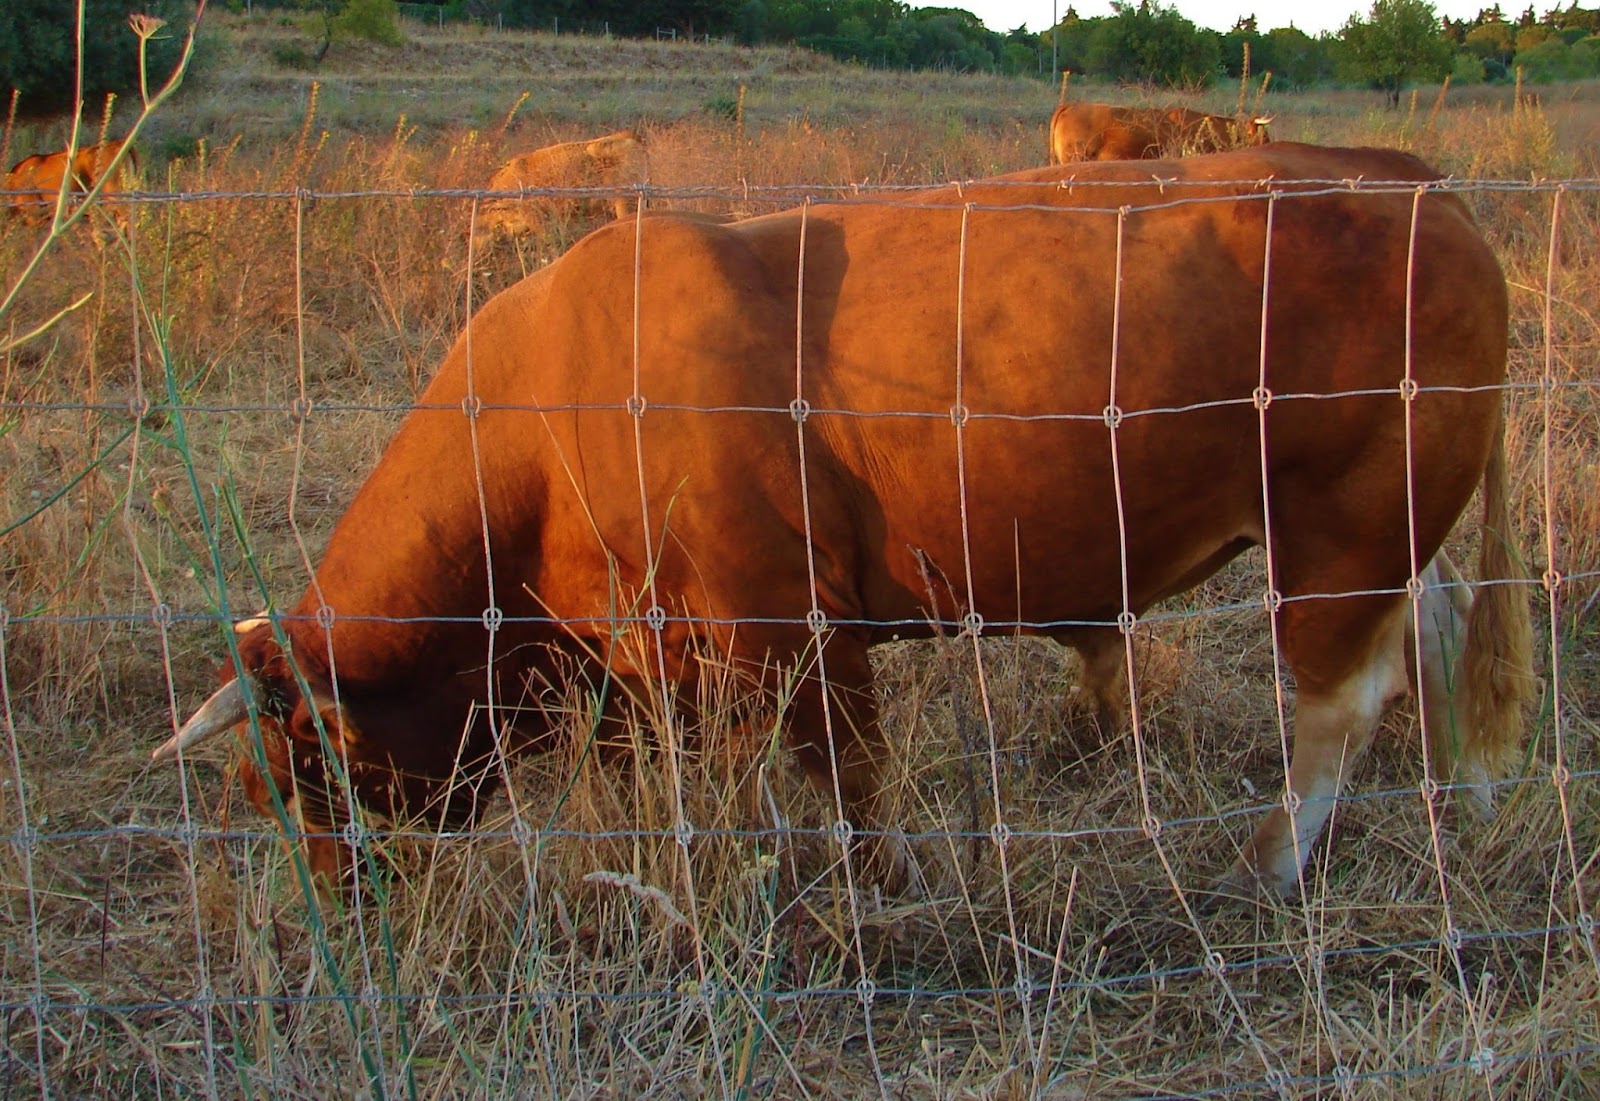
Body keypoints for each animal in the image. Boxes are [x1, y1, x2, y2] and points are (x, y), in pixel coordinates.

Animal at [156, 143, 1532, 902]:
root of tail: (1407, 179)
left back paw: (1269, 866)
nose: (345, 910)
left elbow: (846, 776)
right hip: (1395, 533)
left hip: (1344, 528)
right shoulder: (654, 665)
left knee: (1341, 698)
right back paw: (1466, 798)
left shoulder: (788, 625)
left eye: (301, 774)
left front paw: (885, 887)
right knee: (1440, 629)